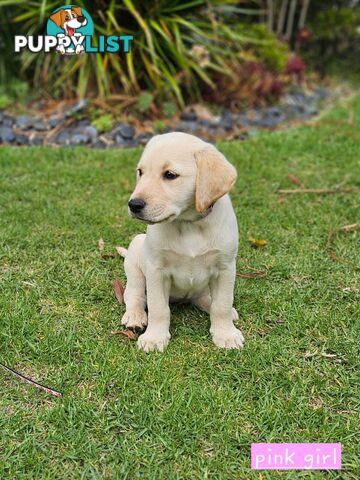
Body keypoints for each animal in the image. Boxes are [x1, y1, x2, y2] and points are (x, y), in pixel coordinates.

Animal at [121, 131, 245, 352]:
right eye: (140, 172)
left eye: (170, 175)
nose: (133, 204)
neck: (188, 224)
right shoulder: (157, 271)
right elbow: (158, 308)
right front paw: (154, 338)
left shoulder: (225, 268)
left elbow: (221, 304)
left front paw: (226, 334)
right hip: (135, 258)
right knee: (135, 295)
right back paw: (135, 317)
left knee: (207, 299)